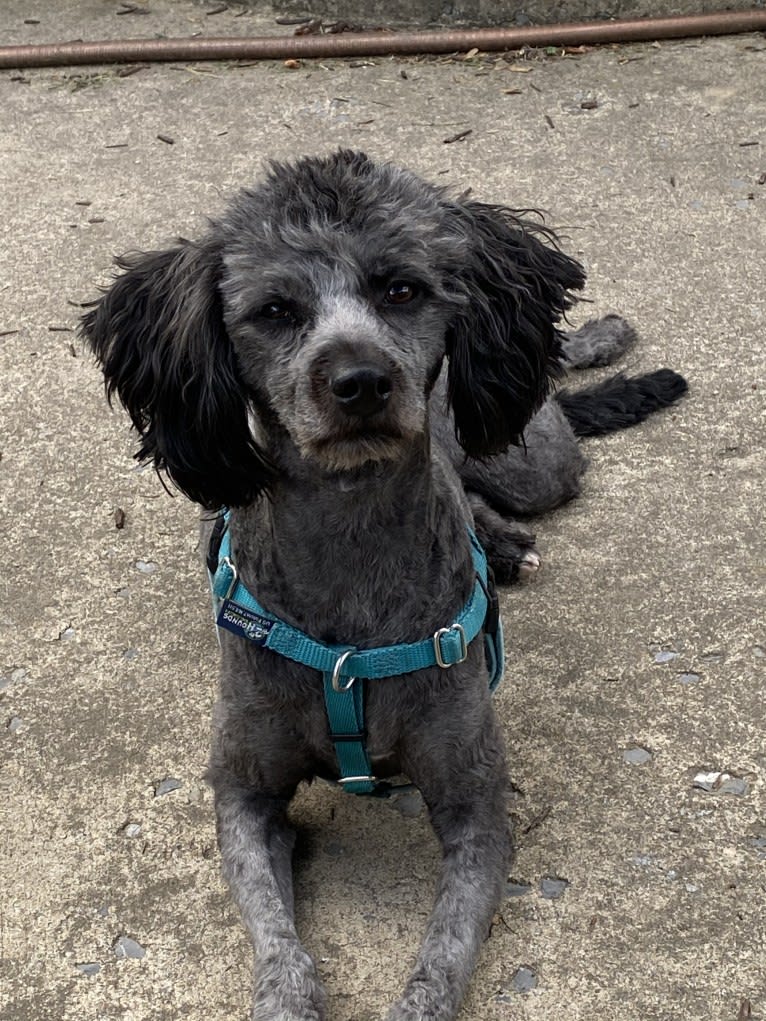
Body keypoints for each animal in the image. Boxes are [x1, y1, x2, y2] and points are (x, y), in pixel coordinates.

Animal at [83, 151, 690, 1021]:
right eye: (275, 310)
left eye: (401, 288)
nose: (361, 379)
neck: (351, 545)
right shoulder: (242, 793)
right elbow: (277, 938)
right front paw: (285, 998)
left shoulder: (477, 808)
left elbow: (443, 955)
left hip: (533, 462)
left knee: (533, 420)